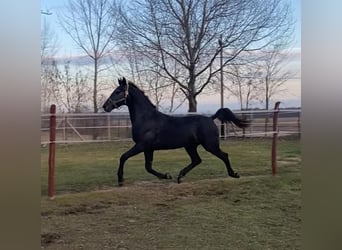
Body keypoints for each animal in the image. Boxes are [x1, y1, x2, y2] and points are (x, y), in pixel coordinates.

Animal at [103, 78, 250, 186]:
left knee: (224, 155)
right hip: (190, 146)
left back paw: (234, 174)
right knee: (197, 160)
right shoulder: (148, 148)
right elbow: (148, 167)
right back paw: (180, 176)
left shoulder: (141, 145)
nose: (105, 106)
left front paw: (120, 180)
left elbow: (123, 157)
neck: (146, 118)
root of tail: (210, 118)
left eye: (118, 91)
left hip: (210, 145)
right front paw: (166, 176)